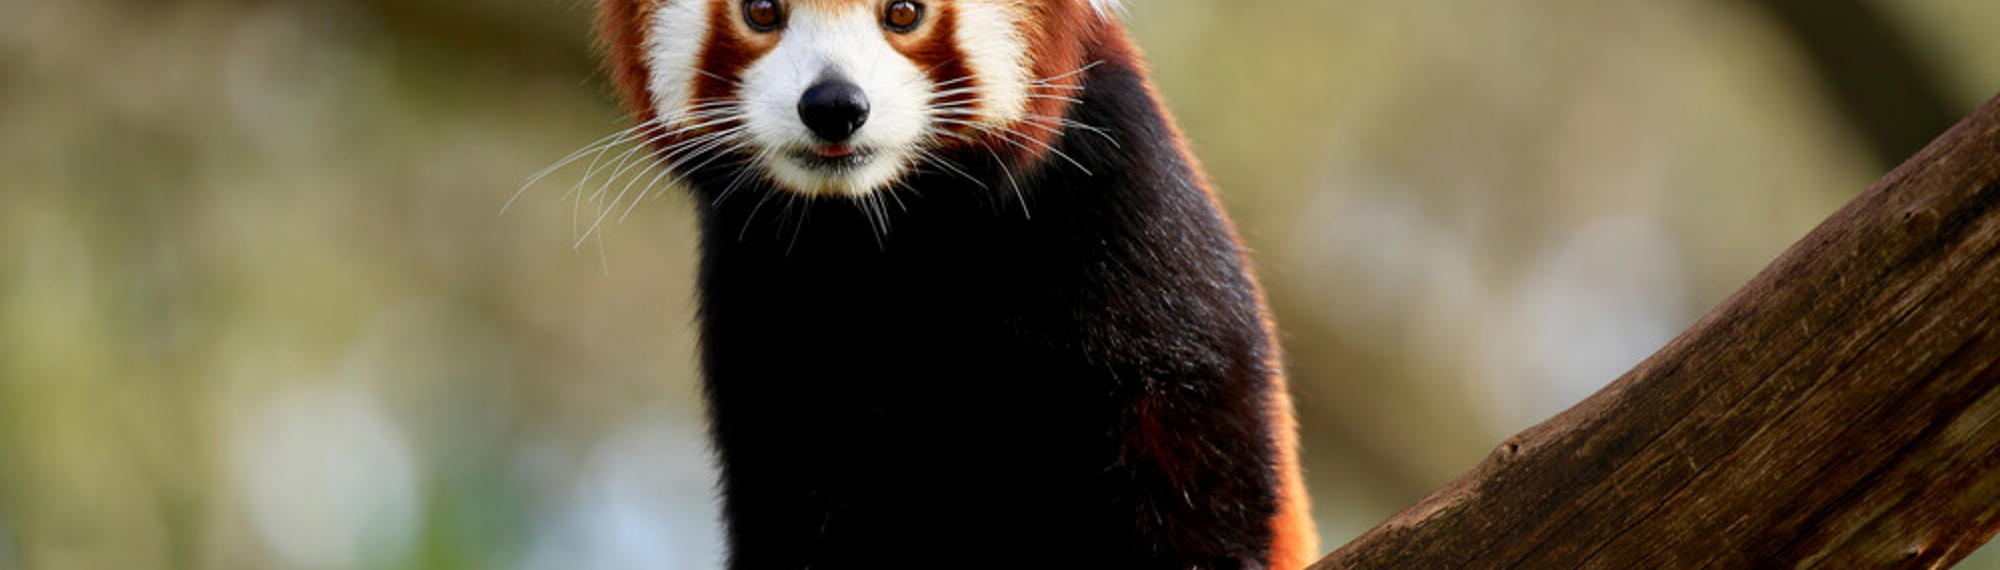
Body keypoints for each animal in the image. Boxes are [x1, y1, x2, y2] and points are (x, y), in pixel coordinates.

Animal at [572, 2, 1320, 564]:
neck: (887, 226)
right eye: (761, 10)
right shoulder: (759, 287)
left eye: (904, 13)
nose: (834, 104)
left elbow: (1193, 408)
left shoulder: (1117, 182)